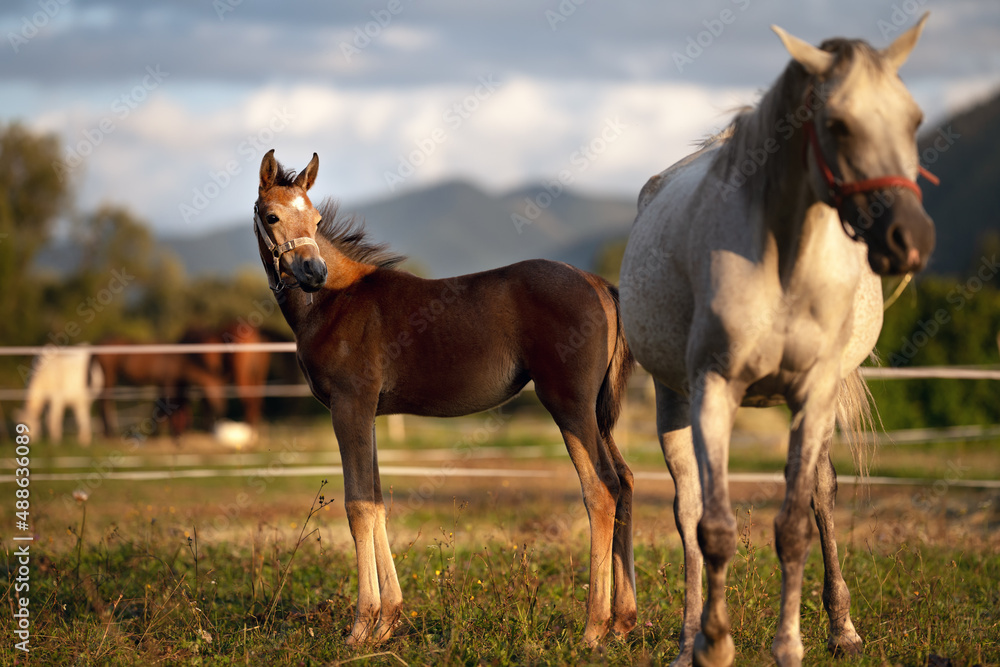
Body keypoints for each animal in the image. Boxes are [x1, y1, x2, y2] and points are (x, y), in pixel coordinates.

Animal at [253, 149, 637, 646]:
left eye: (316, 219)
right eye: (273, 215)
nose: (313, 273)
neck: (336, 302)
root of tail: (600, 283)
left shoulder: (349, 405)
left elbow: (358, 506)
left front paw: (361, 627)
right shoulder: (368, 413)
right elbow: (377, 501)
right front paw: (388, 621)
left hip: (568, 405)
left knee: (601, 490)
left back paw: (593, 627)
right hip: (595, 413)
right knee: (625, 481)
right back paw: (623, 622)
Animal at [619, 16, 935, 667]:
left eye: (914, 119)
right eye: (837, 123)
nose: (910, 238)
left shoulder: (814, 392)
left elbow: (796, 522)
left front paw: (794, 644)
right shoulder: (713, 390)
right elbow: (713, 528)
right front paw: (713, 643)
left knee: (819, 492)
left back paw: (842, 627)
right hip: (673, 398)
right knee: (689, 509)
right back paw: (688, 638)